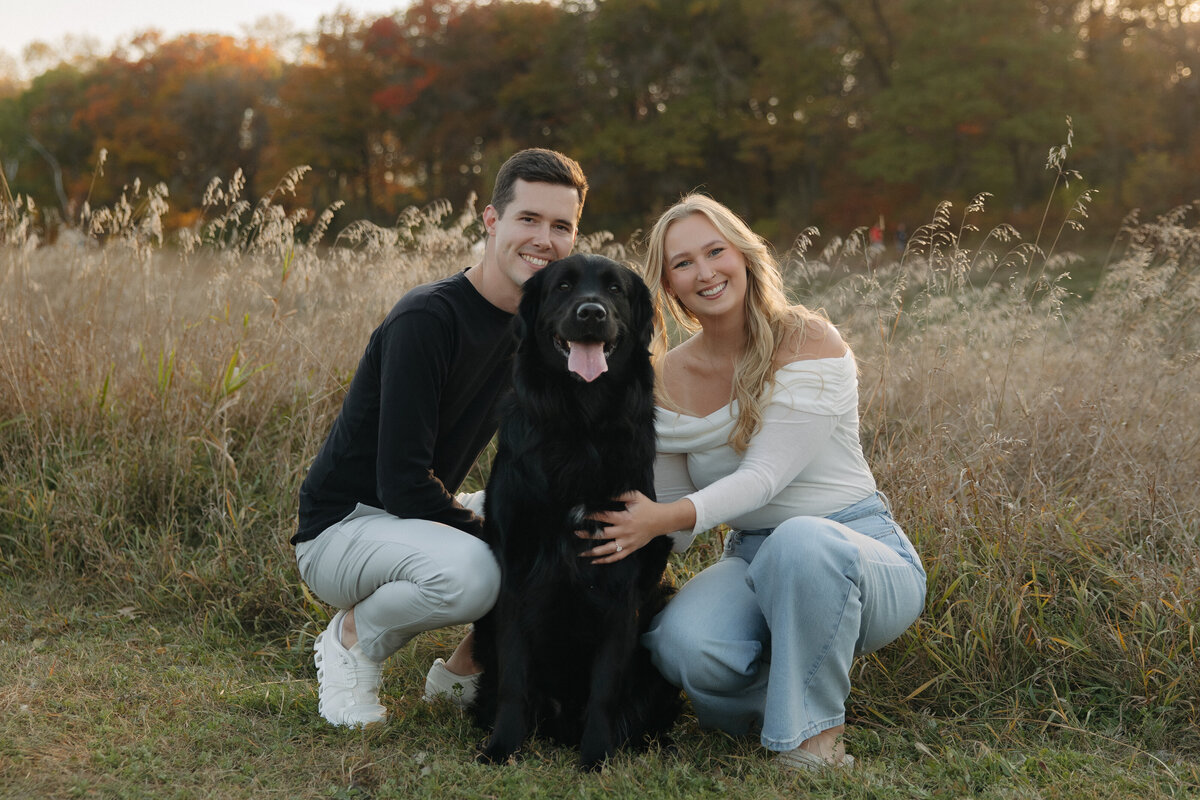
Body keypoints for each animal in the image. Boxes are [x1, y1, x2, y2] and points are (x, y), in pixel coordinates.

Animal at [470, 255, 681, 767]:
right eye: (563, 286)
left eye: (615, 289)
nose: (591, 313)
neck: (580, 424)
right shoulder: (517, 570)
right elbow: (515, 677)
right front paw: (502, 747)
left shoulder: (620, 575)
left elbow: (606, 685)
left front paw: (597, 757)